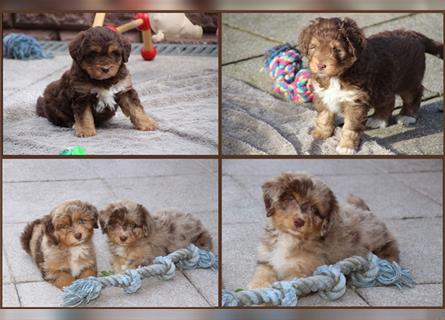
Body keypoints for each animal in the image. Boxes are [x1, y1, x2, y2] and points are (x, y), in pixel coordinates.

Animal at [248, 174, 398, 288]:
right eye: (291, 199)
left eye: (315, 210)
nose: (299, 222)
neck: (289, 238)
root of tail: (367, 211)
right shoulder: (266, 257)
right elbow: (262, 273)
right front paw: (257, 287)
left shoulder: (303, 271)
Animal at [298, 17, 440, 155]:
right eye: (313, 47)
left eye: (337, 49)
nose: (320, 66)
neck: (336, 76)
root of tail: (412, 34)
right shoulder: (323, 95)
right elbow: (324, 116)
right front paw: (321, 134)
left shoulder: (355, 101)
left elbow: (350, 127)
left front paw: (346, 146)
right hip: (384, 84)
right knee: (389, 100)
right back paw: (379, 119)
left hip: (409, 81)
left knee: (414, 94)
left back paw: (407, 116)